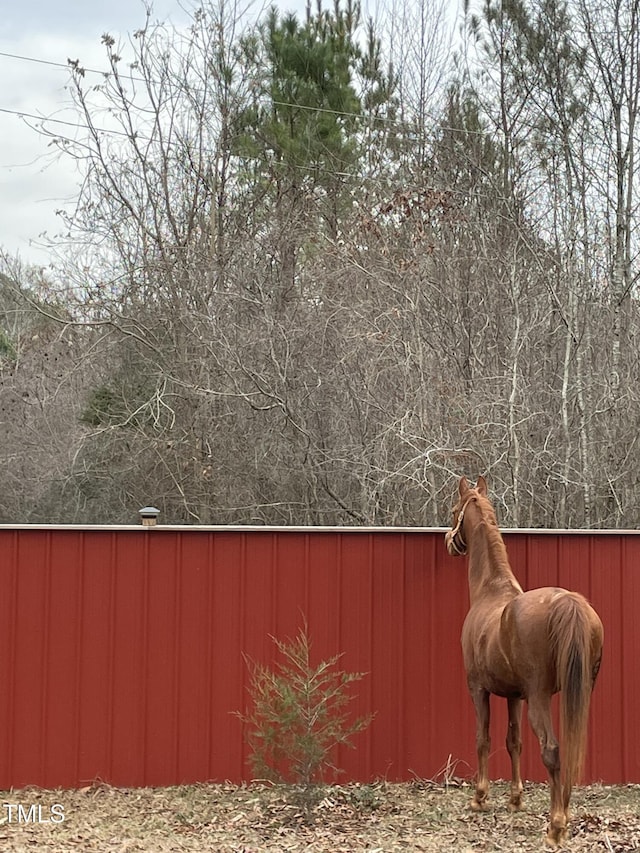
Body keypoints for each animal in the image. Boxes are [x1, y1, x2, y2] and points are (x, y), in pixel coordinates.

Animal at [448, 472, 604, 844]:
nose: (449, 542)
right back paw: (563, 816)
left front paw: (480, 798)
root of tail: (569, 602)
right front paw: (515, 799)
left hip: (540, 698)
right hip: (579, 693)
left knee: (552, 750)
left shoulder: (478, 689)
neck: (491, 590)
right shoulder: (514, 695)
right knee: (571, 747)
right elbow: (513, 741)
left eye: (453, 511)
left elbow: (483, 738)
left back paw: (556, 826)